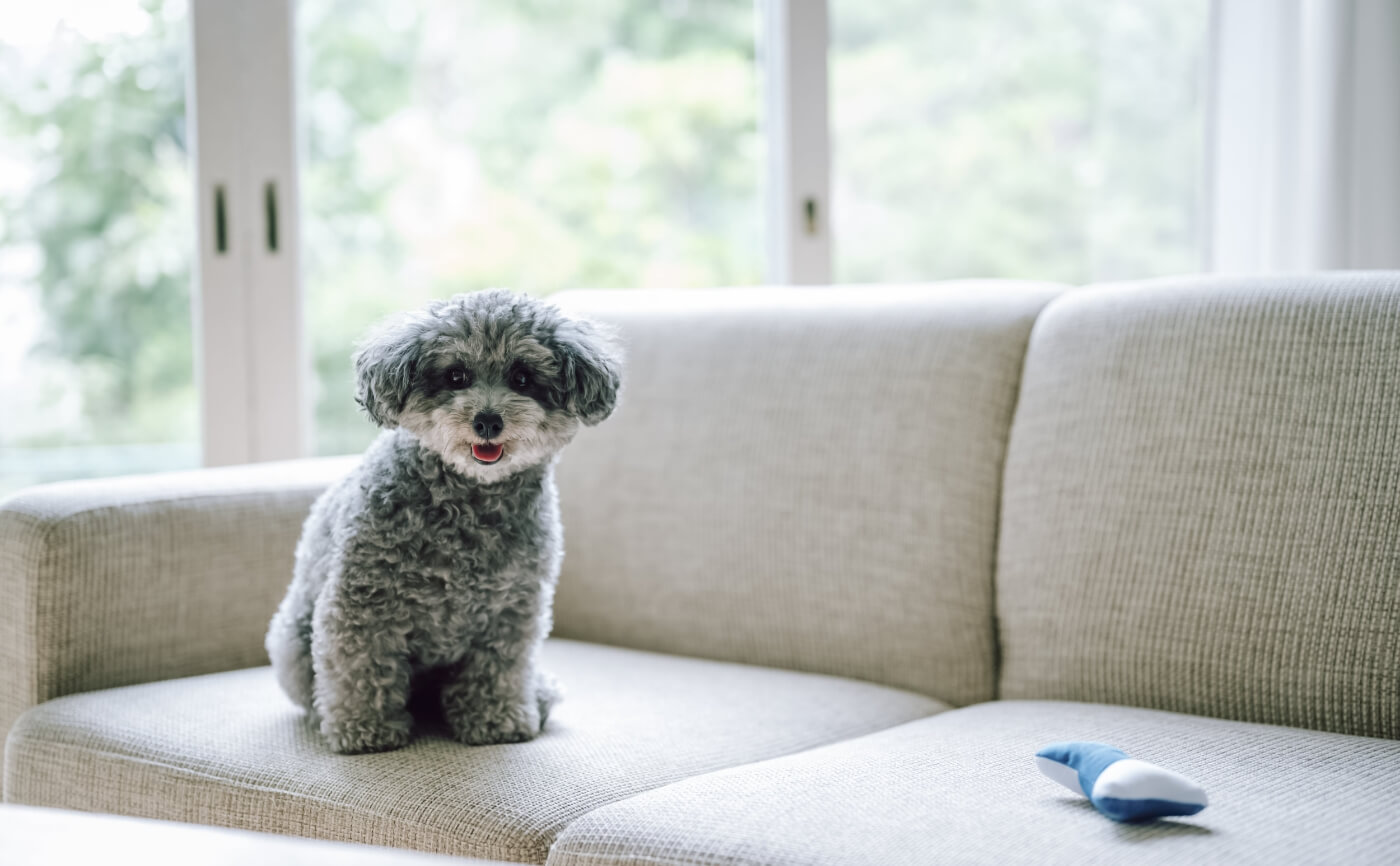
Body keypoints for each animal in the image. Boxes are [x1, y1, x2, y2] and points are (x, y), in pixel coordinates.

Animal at [267, 290, 624, 749]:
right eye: (456, 376)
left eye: (522, 377)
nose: (487, 421)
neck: (470, 499)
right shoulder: (361, 604)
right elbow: (361, 668)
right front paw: (365, 730)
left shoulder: (512, 611)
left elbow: (498, 670)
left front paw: (497, 720)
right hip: (291, 641)